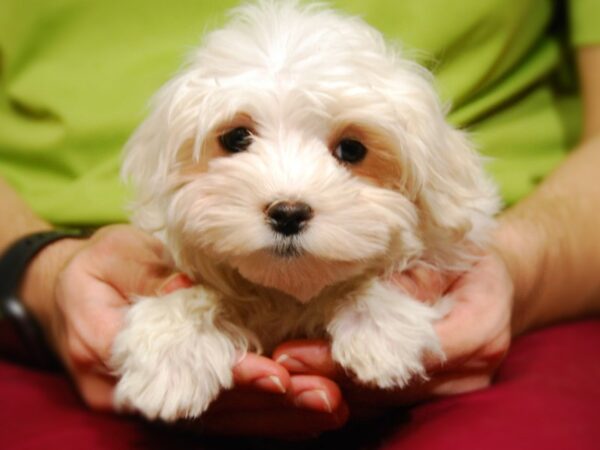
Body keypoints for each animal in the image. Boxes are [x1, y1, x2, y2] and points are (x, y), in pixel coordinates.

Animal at [110, 0, 500, 422]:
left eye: (352, 149)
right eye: (236, 138)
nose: (288, 213)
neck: (289, 291)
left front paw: (379, 328)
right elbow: (195, 295)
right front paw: (171, 360)